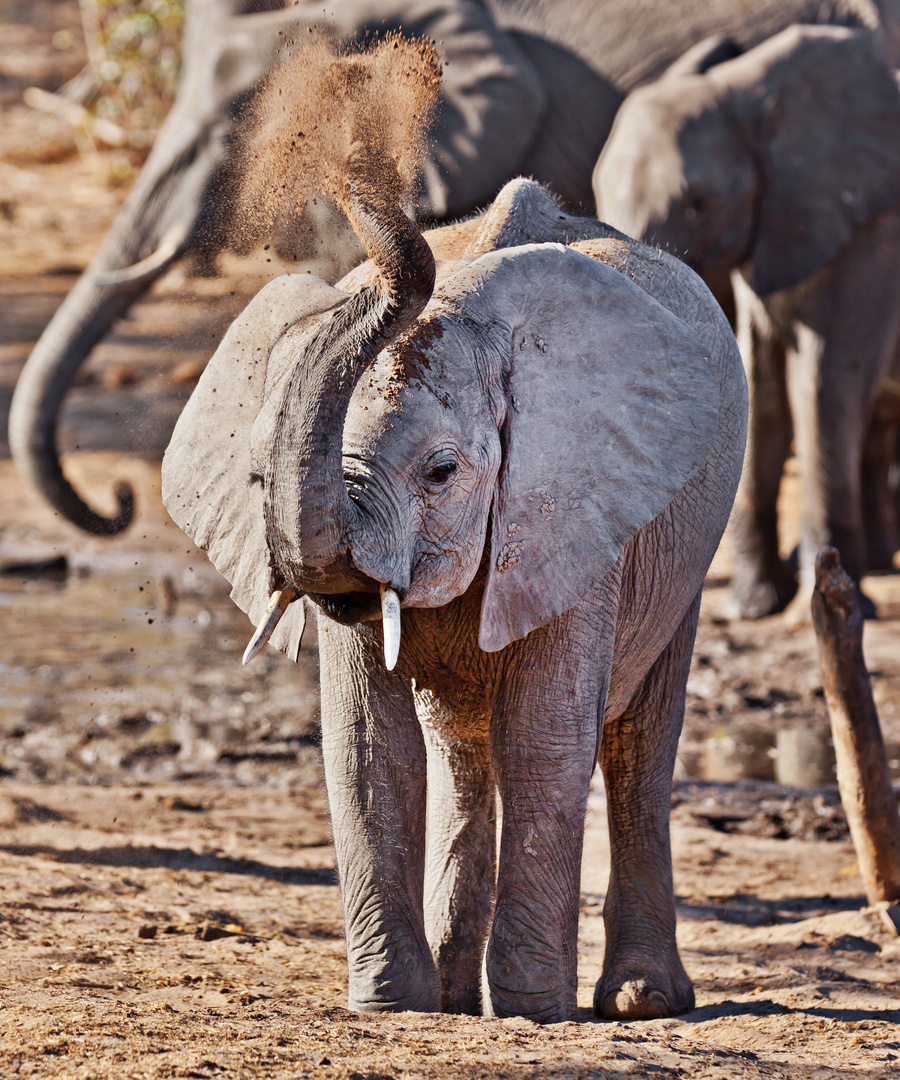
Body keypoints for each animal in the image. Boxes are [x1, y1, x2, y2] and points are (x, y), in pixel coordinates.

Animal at [592, 25, 898, 626]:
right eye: (596, 192)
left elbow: (822, 385)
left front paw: (822, 600)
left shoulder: (867, 234)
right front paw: (752, 607)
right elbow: (763, 380)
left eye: (699, 204)